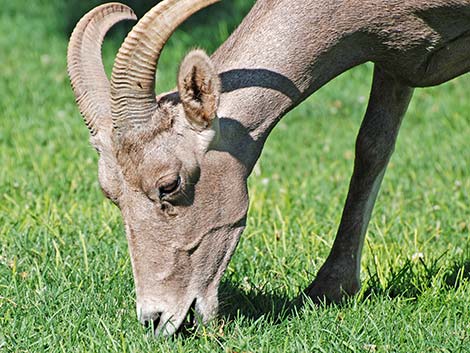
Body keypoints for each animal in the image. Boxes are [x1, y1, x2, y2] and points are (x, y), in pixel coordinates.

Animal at [66, 0, 470, 336]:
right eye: (111, 194)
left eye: (169, 184)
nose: (157, 319)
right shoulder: (394, 66)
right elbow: (371, 147)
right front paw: (330, 288)